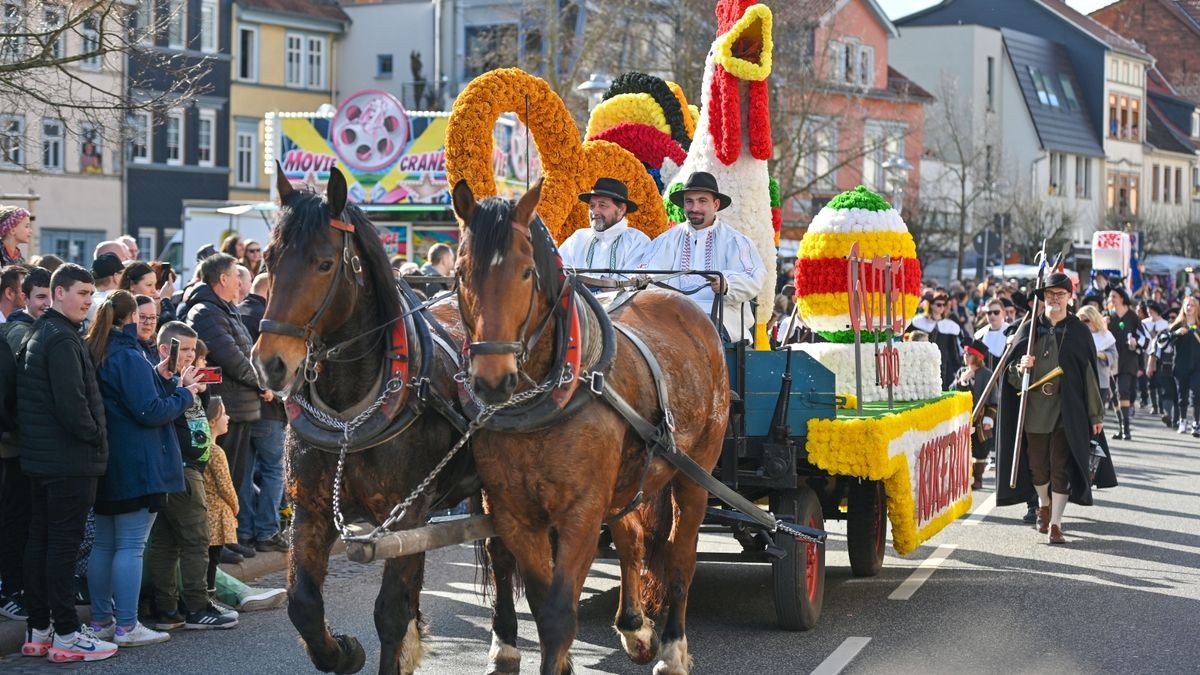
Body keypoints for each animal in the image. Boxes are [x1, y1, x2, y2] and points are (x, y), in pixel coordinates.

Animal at [256, 166, 472, 667]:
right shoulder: (310, 510)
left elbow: (390, 614)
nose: (271, 362)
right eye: (269, 258)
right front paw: (342, 653)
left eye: (324, 263)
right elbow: (302, 604)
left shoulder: (408, 515)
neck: (348, 419)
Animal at [451, 180, 724, 672]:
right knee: (632, 537)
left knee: (681, 558)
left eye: (526, 272)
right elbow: (539, 600)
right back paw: (635, 626)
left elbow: (559, 614)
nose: (492, 379)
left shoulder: (580, 512)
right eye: (461, 273)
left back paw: (672, 648)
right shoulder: (514, 513)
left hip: (695, 475)